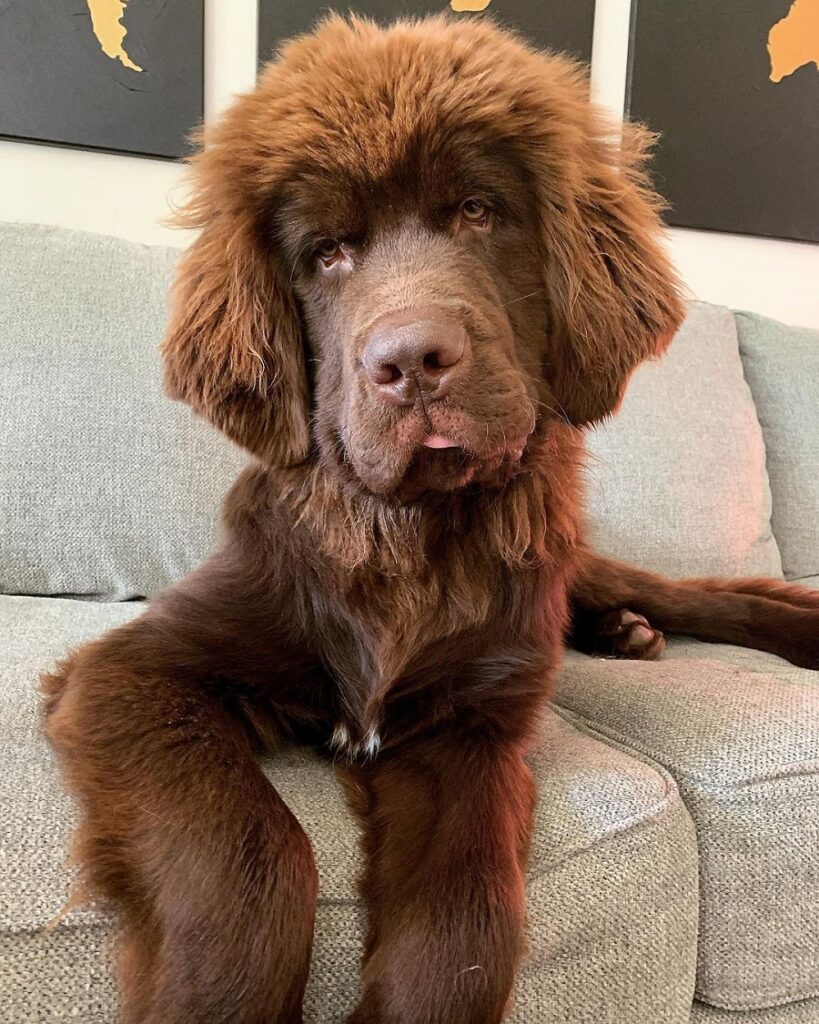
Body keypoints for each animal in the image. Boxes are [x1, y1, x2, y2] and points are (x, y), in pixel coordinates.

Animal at [44, 16, 818, 1024]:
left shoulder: (466, 732)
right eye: (327, 253)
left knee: (699, 593)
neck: (405, 538)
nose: (411, 360)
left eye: (478, 211)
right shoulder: (132, 672)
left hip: (562, 558)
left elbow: (464, 922)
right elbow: (250, 850)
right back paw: (624, 633)